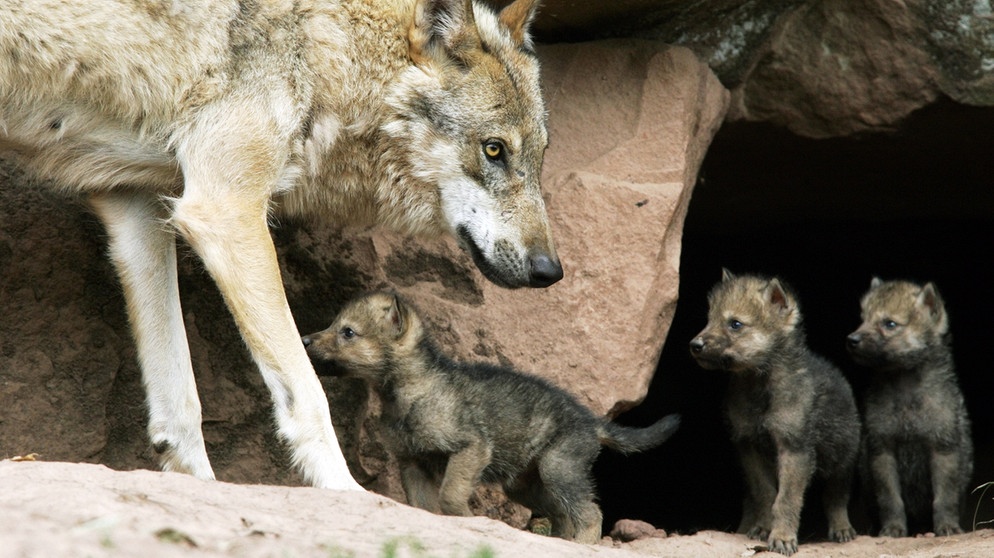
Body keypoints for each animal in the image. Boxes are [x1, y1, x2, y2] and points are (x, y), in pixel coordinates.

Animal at [0, 0, 560, 492]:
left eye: (539, 157)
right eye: (494, 150)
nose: (550, 270)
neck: (319, 47)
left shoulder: (136, 206)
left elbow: (179, 405)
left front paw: (201, 489)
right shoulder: (225, 211)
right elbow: (309, 394)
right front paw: (346, 494)